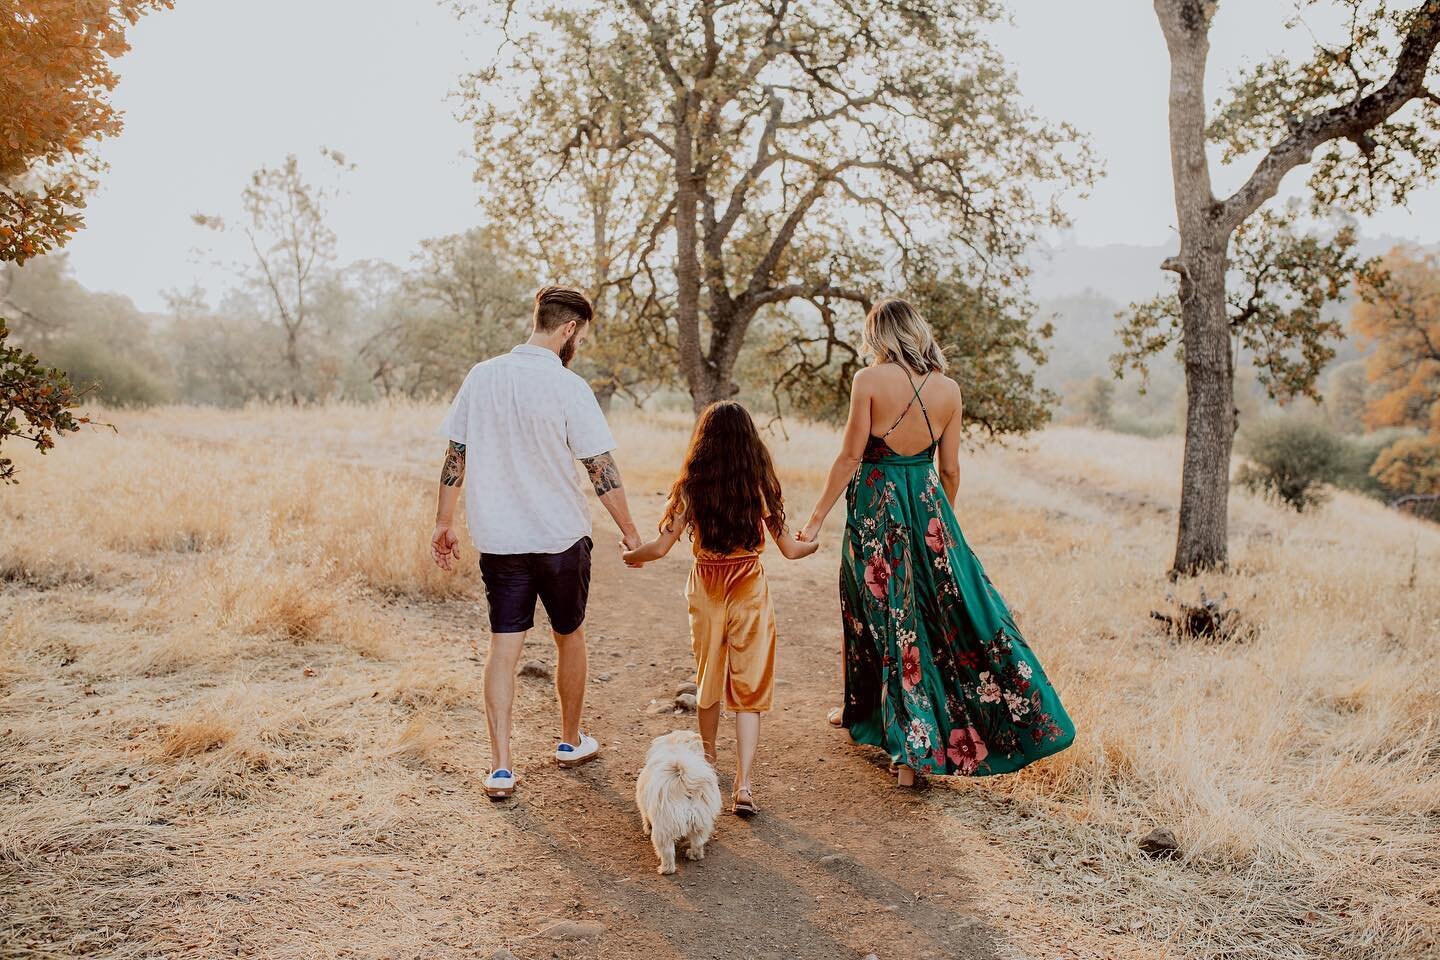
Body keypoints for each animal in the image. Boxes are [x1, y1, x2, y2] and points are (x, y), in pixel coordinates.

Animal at [636, 731, 720, 875]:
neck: (675, 746)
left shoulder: (643, 804)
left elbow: (645, 818)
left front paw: (647, 828)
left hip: (663, 830)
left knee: (667, 853)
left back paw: (665, 869)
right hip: (700, 823)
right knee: (698, 843)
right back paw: (694, 855)